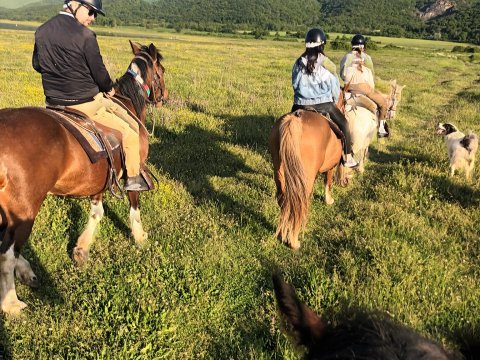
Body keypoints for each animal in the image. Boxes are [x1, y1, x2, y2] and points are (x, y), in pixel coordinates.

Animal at [0, 40, 167, 316]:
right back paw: (11, 303)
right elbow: (134, 205)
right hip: (24, 210)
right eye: (162, 72)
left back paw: (26, 272)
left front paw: (81, 249)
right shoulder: (131, 171)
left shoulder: (100, 178)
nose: (164, 97)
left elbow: (96, 213)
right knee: (7, 253)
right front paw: (140, 238)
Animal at [266, 98, 344, 250]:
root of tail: (294, 120)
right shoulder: (331, 167)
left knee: (284, 199)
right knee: (300, 204)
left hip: (279, 170)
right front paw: (329, 200)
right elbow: (328, 182)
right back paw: (294, 241)